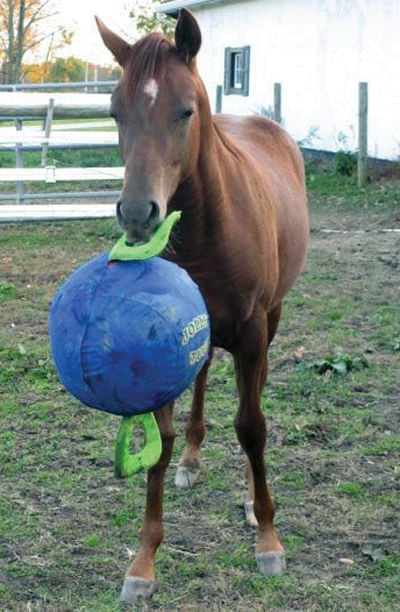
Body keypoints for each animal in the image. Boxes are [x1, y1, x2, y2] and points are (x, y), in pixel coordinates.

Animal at [97, 8, 310, 604]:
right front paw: (143, 562)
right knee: (204, 374)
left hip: (270, 321)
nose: (138, 214)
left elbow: (252, 424)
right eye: (114, 112)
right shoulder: (165, 339)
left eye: (185, 110)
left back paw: (248, 495)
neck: (210, 231)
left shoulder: (254, 331)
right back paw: (194, 460)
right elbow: (161, 440)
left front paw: (268, 537)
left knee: (251, 393)